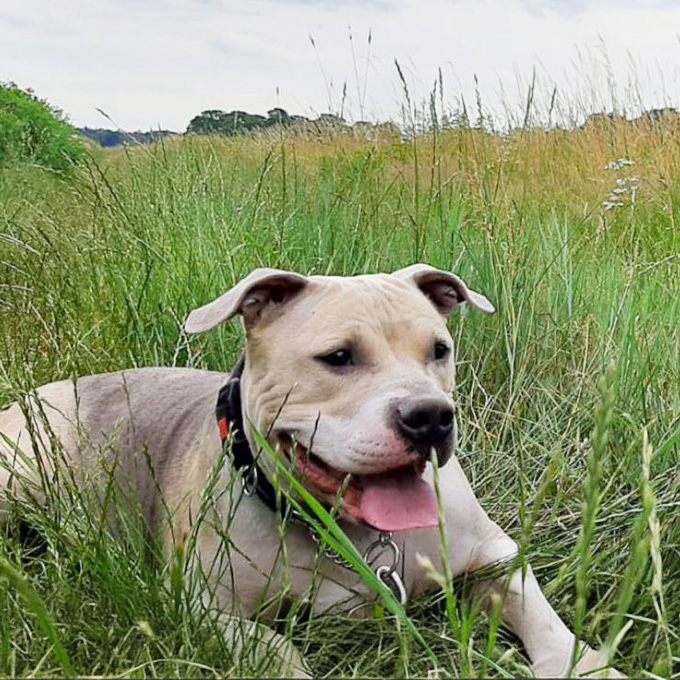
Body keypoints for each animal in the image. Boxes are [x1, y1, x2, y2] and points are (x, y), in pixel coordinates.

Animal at [0, 264, 620, 676]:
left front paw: (583, 664)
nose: (430, 418)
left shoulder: (493, 555)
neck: (351, 531)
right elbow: (275, 648)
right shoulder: (205, 609)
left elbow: (541, 615)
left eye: (439, 350)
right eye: (338, 357)